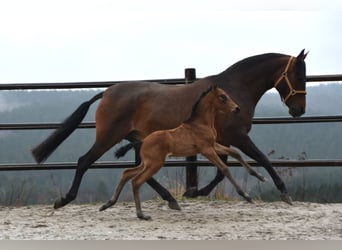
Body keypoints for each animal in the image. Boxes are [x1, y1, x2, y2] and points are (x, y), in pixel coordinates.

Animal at [100, 85, 266, 220]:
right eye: (222, 96)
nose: (237, 108)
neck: (200, 124)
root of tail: (143, 141)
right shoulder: (206, 150)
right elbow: (224, 168)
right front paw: (246, 196)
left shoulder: (213, 145)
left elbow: (235, 153)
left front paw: (260, 176)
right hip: (155, 164)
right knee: (136, 181)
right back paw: (141, 214)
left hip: (147, 163)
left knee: (127, 172)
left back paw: (108, 204)